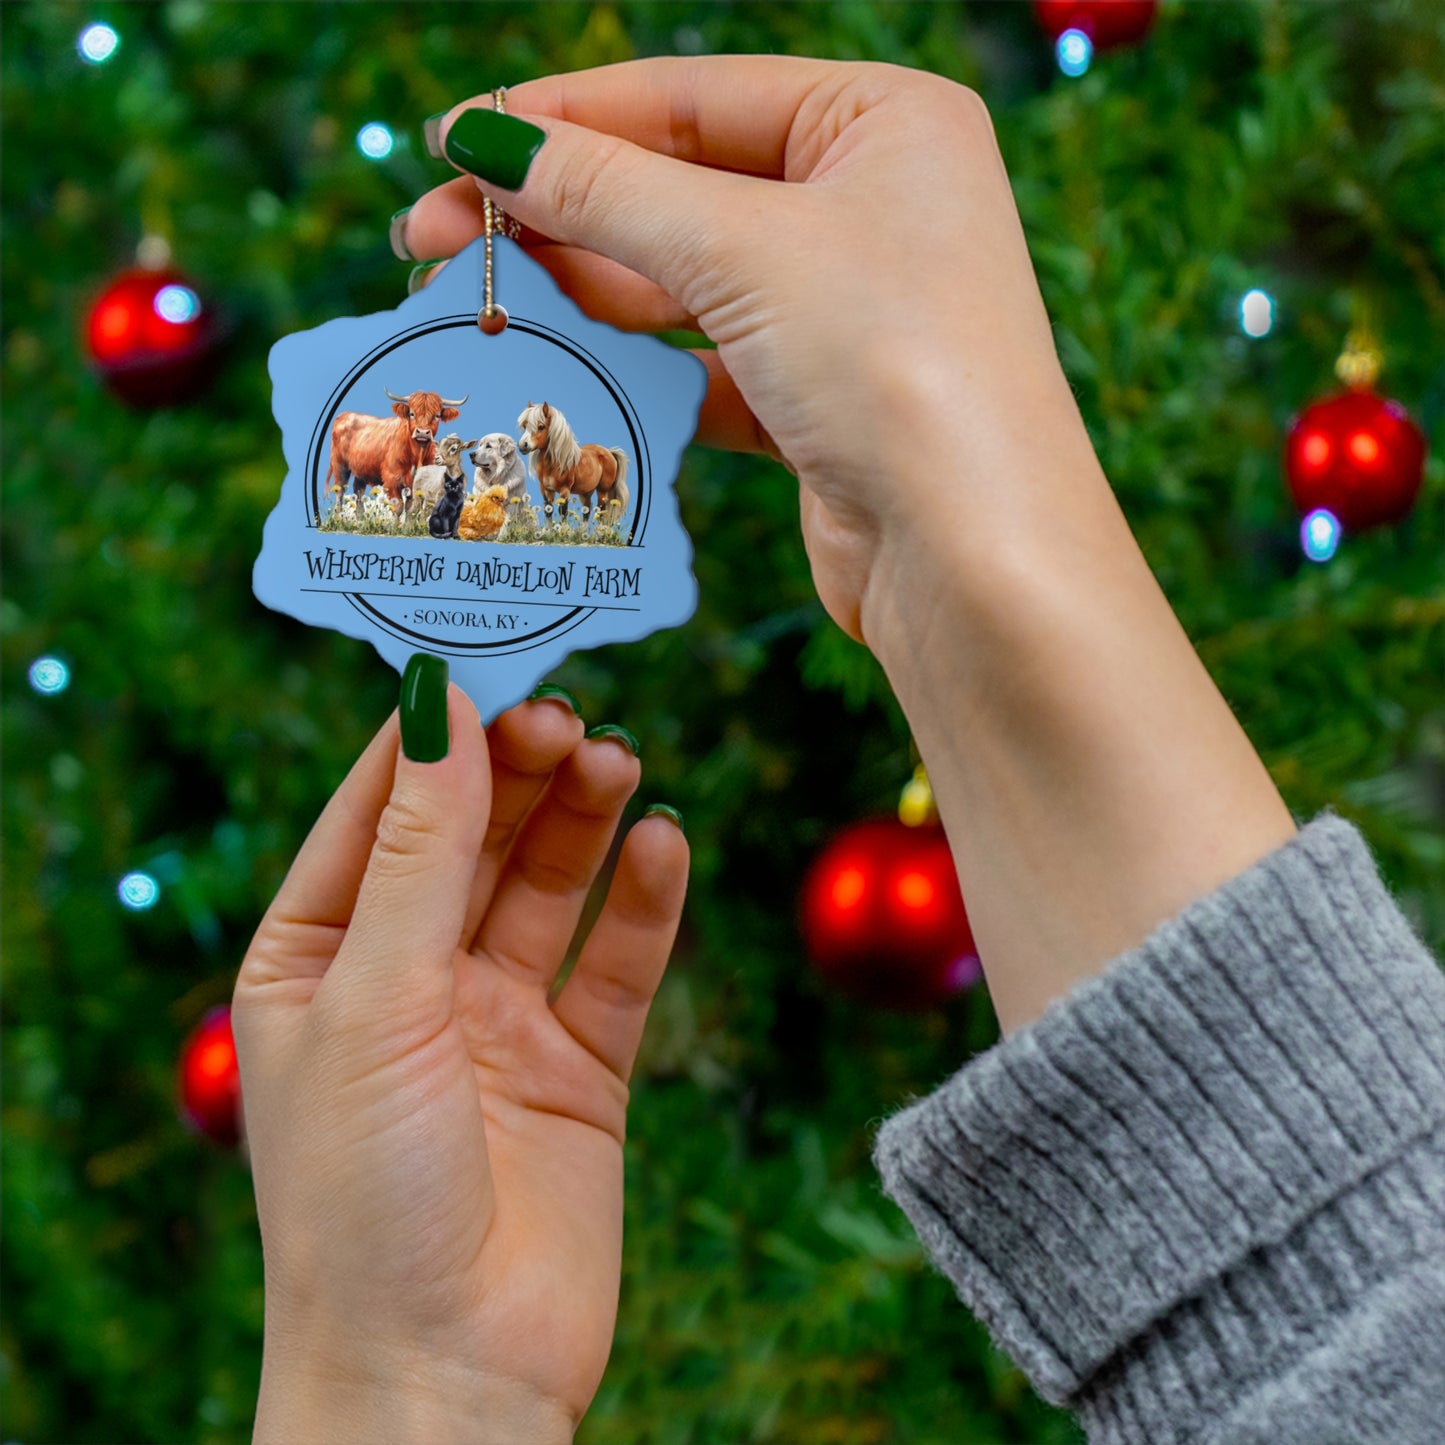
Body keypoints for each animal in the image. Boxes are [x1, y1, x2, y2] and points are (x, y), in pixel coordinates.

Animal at [328, 393, 468, 505]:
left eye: (437, 415)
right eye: (411, 413)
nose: (423, 433)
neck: (417, 455)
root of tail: (344, 414)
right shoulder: (392, 480)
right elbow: (398, 506)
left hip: (361, 471)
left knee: (358, 494)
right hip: (340, 466)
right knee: (340, 492)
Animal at [520, 398, 632, 528]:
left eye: (541, 426)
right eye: (525, 426)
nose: (522, 445)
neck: (555, 464)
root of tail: (609, 452)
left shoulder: (565, 491)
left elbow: (563, 511)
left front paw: (562, 530)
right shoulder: (546, 489)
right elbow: (548, 510)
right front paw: (548, 530)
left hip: (603, 491)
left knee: (601, 511)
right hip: (586, 492)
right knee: (587, 510)